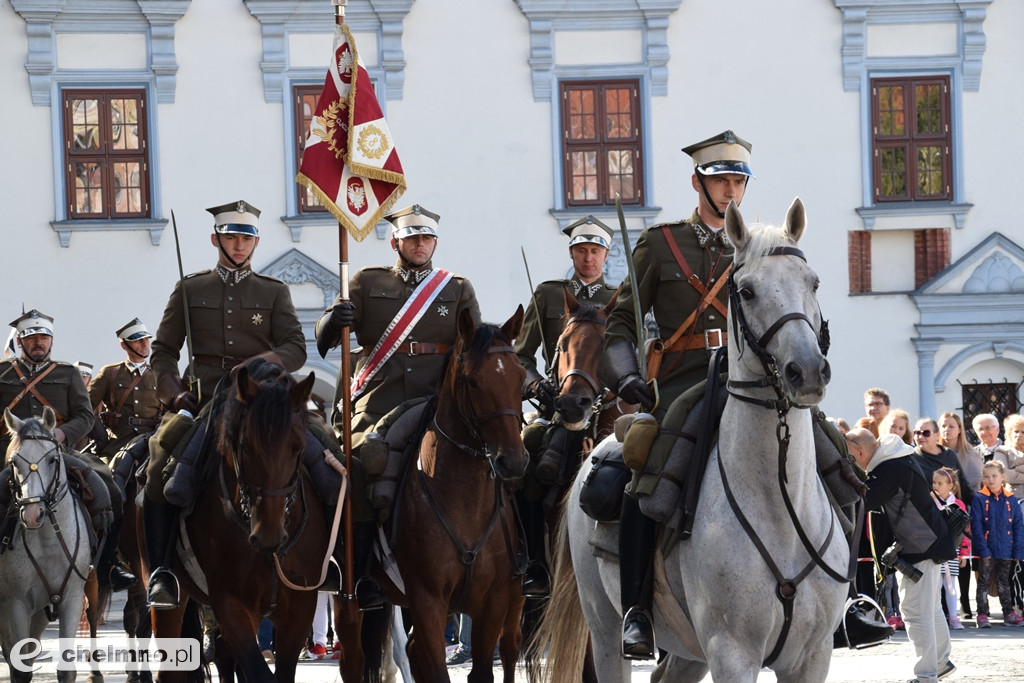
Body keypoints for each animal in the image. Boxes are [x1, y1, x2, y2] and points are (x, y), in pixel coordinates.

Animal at [0, 405, 93, 683]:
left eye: (52, 459)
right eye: (14, 462)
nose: (33, 514)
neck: (47, 542)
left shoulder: (72, 598)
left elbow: (66, 670)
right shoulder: (15, 604)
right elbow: (19, 670)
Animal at [146, 360, 350, 679]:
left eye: (297, 446)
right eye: (244, 446)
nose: (268, 535)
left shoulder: (300, 606)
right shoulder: (231, 605)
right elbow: (257, 671)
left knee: (224, 658)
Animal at [368, 309, 528, 683]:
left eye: (520, 378)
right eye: (472, 382)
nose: (513, 461)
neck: (463, 504)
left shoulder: (493, 600)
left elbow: (484, 668)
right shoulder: (427, 601)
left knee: (510, 648)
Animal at [536, 198, 847, 683]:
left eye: (812, 282)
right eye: (748, 291)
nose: (808, 371)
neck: (781, 502)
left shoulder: (812, 657)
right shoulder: (732, 653)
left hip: (687, 650)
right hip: (605, 631)